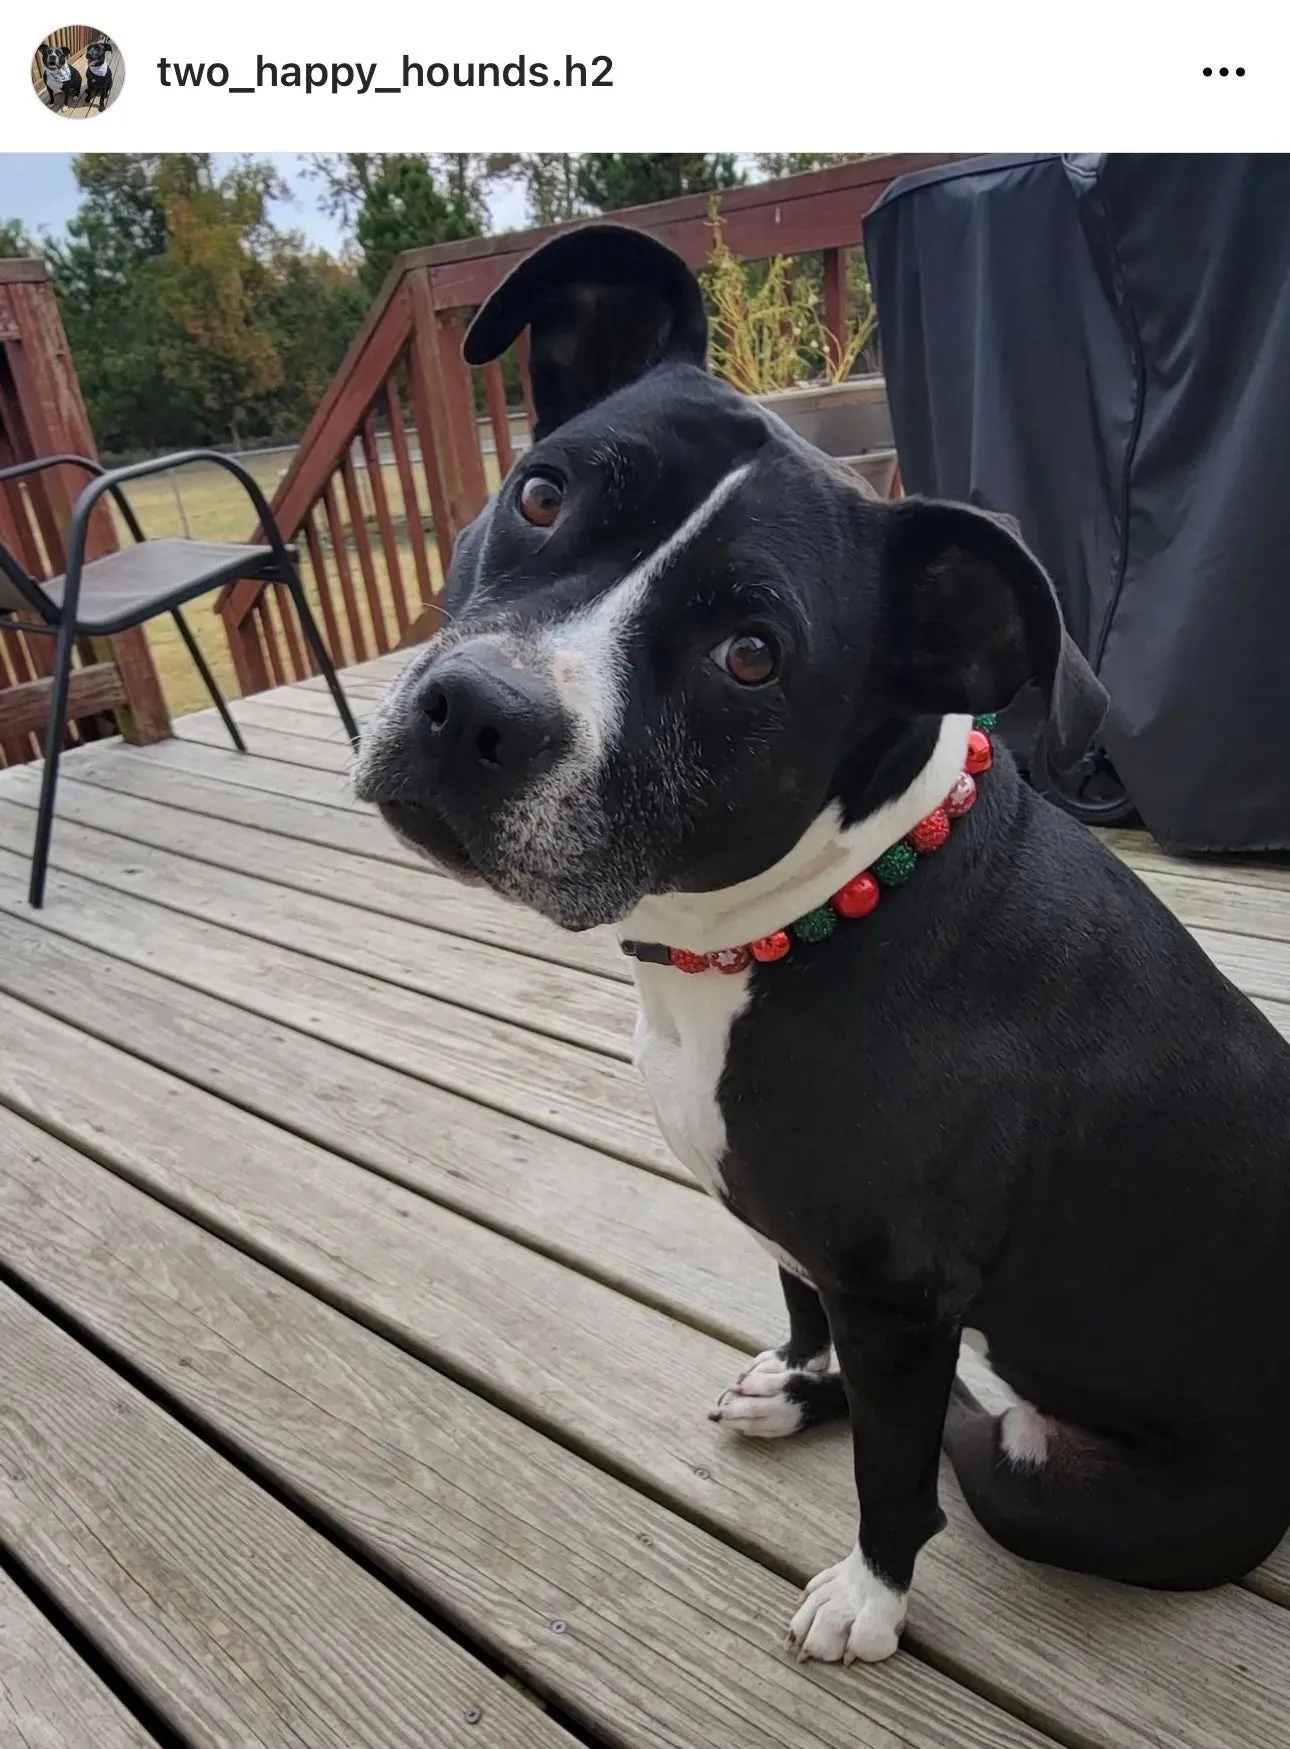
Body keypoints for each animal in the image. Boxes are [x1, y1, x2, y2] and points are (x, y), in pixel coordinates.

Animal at [351, 222, 1286, 1665]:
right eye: (543, 496)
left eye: (750, 655)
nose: (474, 713)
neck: (793, 920)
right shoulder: (809, 1246)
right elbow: (807, 1314)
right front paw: (800, 1382)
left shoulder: (897, 1296)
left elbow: (894, 1469)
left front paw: (869, 1594)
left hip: (1065, 1490)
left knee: (971, 1441)